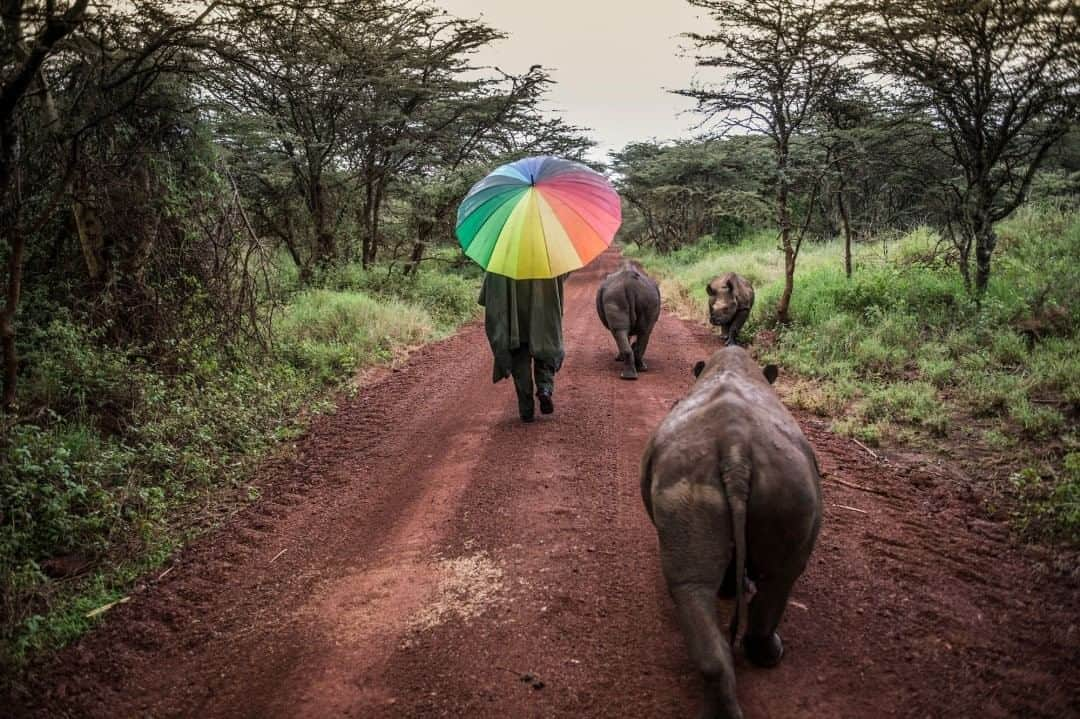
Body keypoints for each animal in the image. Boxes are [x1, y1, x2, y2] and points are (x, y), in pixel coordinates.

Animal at [635, 345, 820, 712]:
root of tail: (736, 451)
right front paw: (733, 589)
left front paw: (731, 589)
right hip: (772, 480)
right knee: (777, 577)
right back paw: (770, 656)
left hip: (728, 478)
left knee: (703, 585)